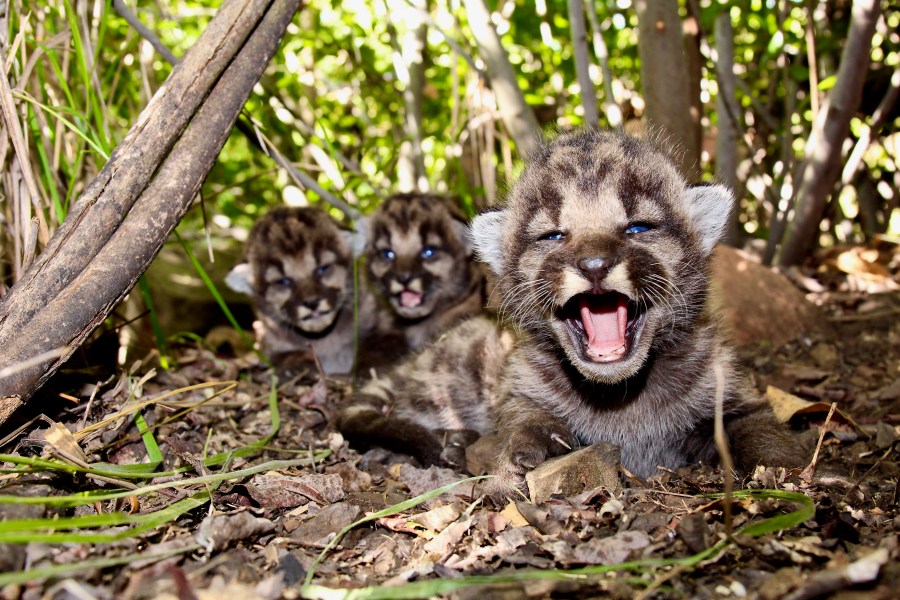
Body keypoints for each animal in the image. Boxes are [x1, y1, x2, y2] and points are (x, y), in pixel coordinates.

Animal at [338, 129, 800, 490]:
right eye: (553, 235)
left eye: (638, 228)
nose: (594, 264)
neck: (619, 398)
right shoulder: (520, 390)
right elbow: (523, 420)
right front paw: (522, 457)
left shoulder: (735, 396)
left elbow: (762, 433)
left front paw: (790, 475)